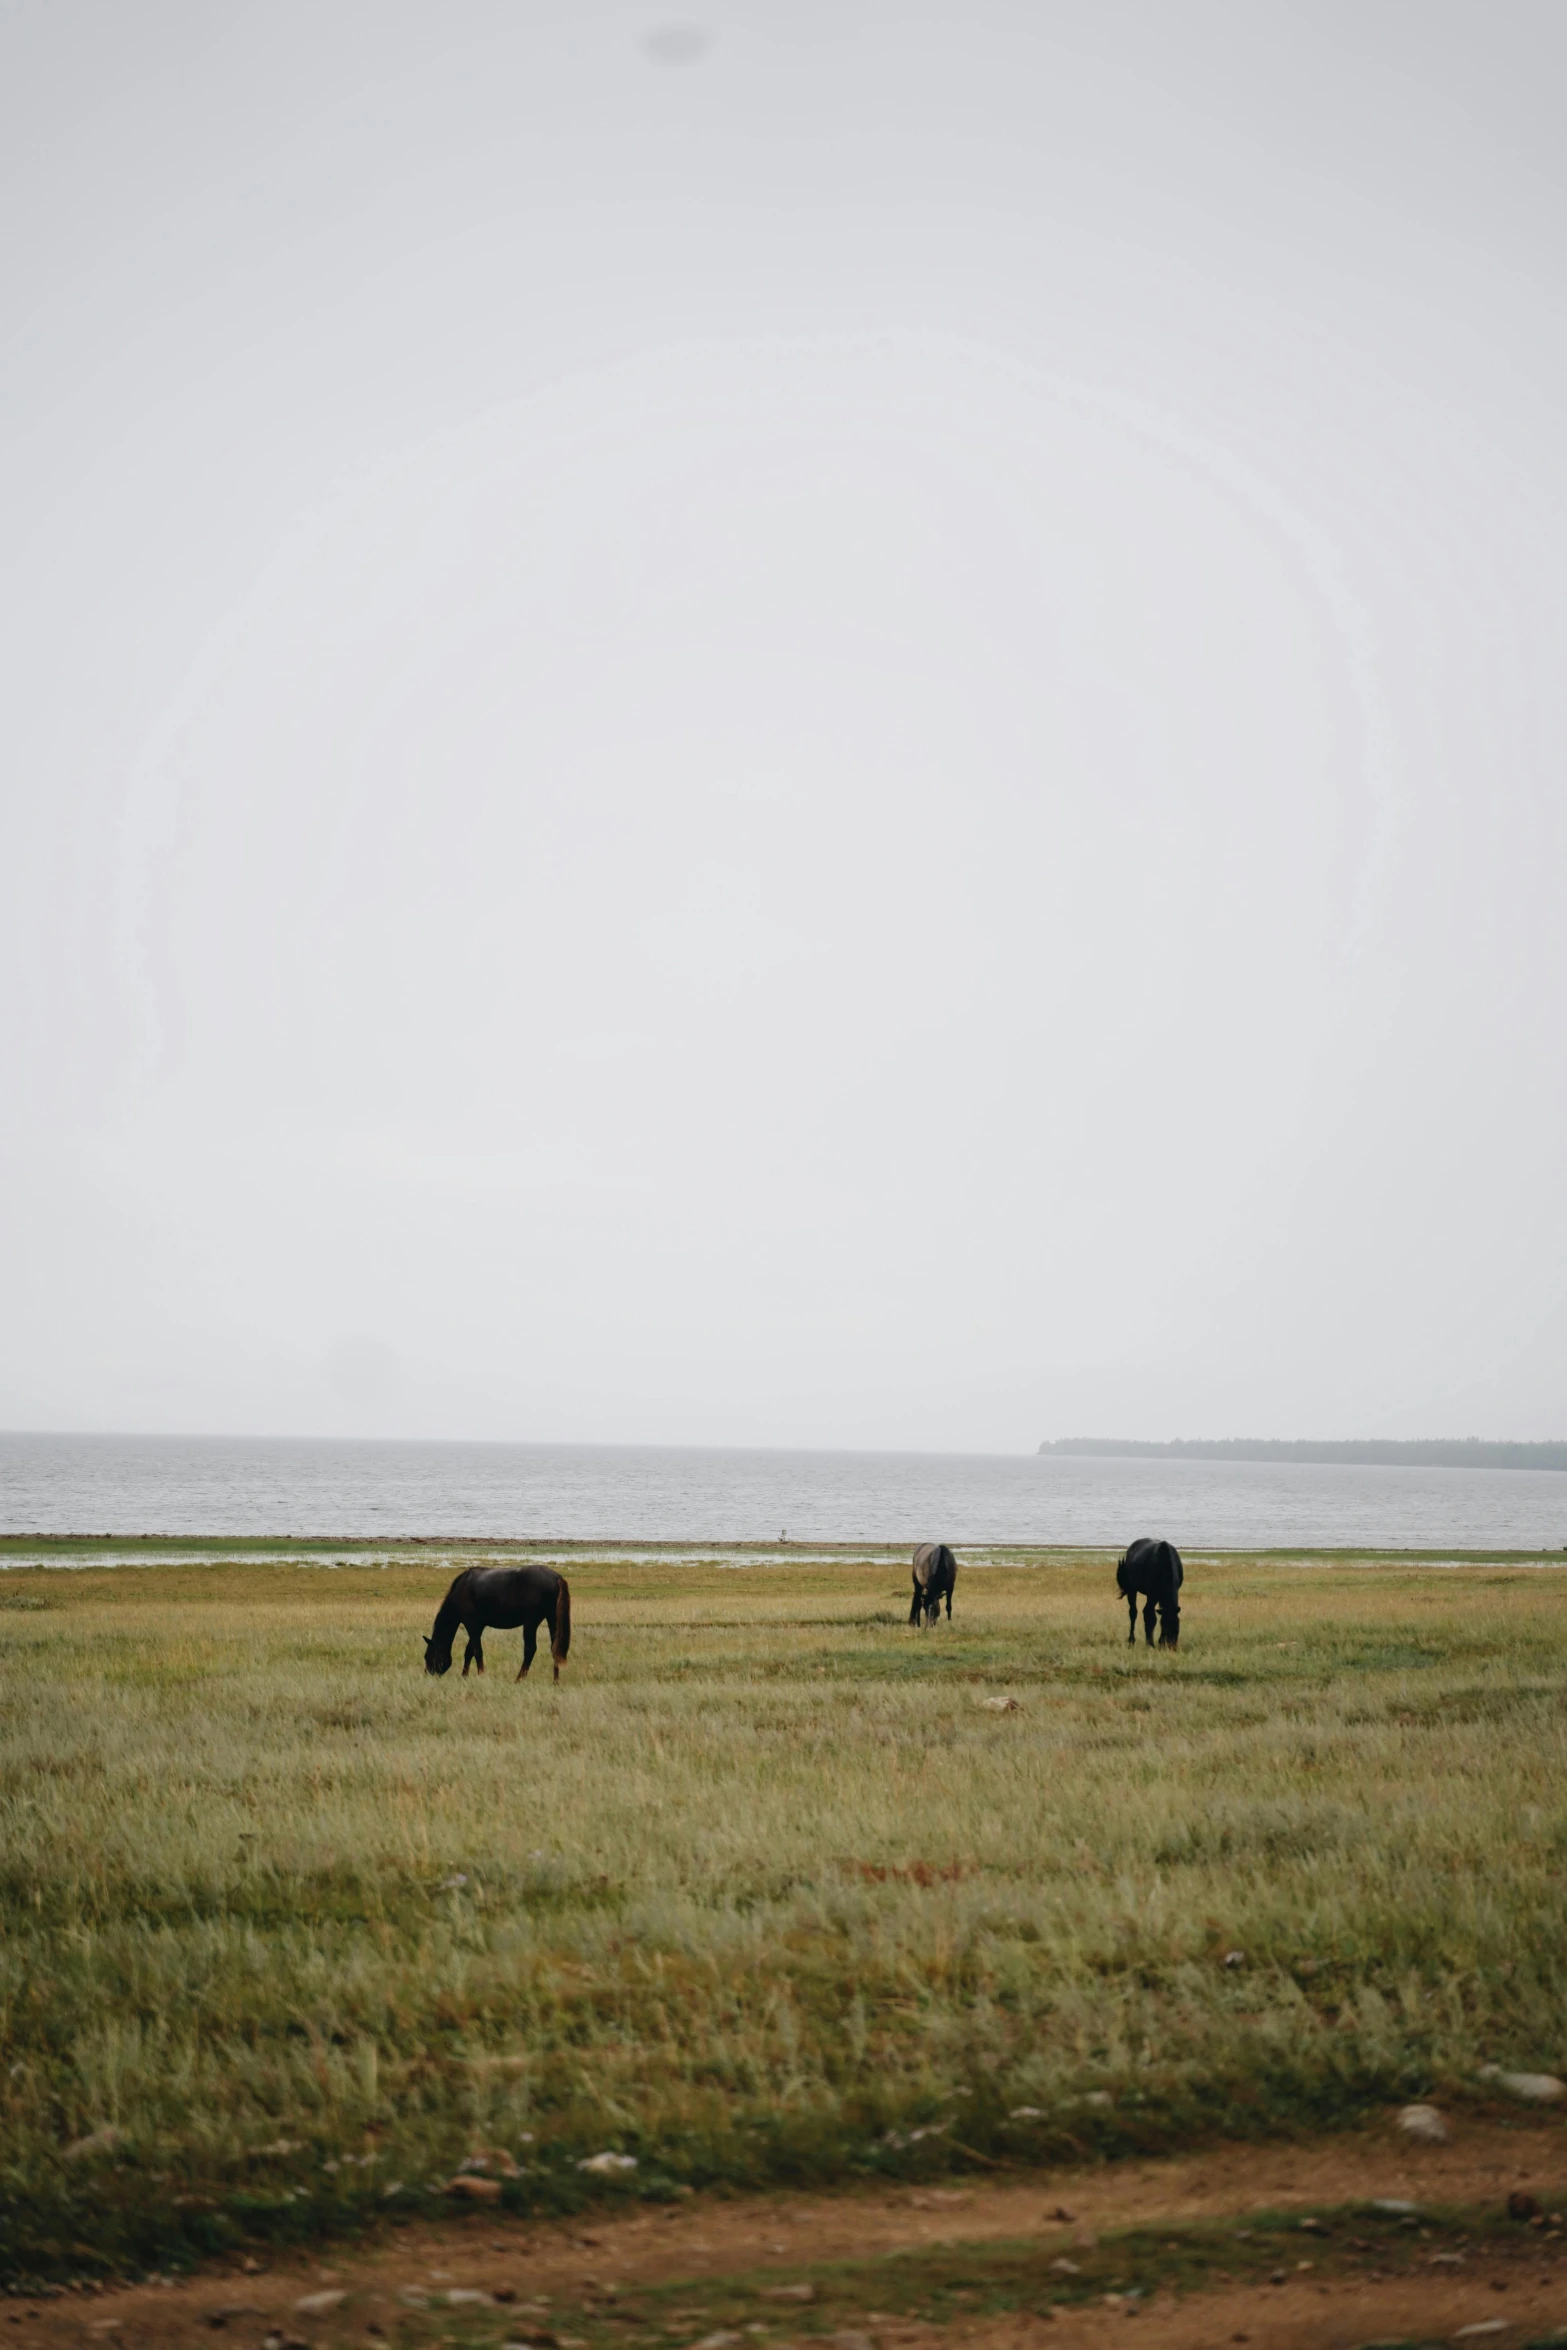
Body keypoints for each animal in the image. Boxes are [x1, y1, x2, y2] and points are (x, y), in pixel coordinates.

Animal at [425, 1569, 573, 1682]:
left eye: (427, 1656)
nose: (428, 1674)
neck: (460, 1589)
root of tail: (557, 1578)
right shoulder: (478, 1627)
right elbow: (469, 1651)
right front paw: (464, 1675)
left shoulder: (471, 1624)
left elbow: (477, 1651)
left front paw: (480, 1674)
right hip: (552, 1619)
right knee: (555, 1647)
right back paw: (555, 1680)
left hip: (531, 1623)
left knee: (530, 1649)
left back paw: (519, 1679)